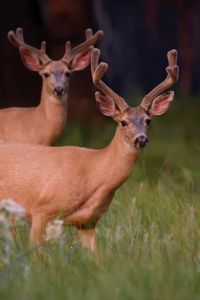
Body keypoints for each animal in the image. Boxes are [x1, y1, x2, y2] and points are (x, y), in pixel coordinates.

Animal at [0, 47, 178, 251]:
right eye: (123, 122)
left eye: (148, 121)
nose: (141, 139)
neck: (93, 172)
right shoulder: (40, 210)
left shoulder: (88, 222)